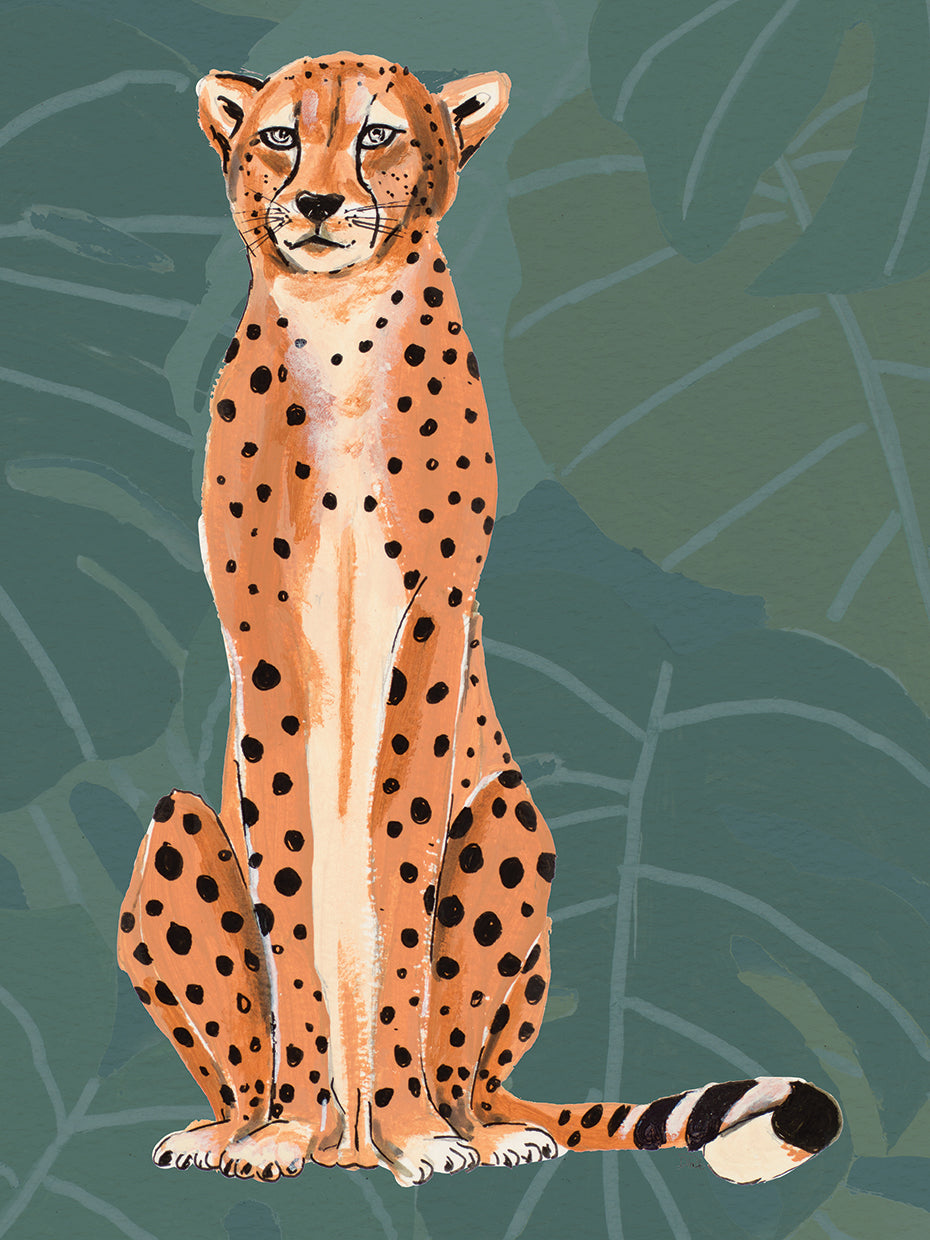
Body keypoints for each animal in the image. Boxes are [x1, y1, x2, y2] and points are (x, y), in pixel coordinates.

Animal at [117, 51, 842, 1188]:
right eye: (280, 137)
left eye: (376, 135)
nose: (315, 202)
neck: (340, 326)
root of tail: (350, 1157)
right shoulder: (262, 640)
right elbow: (294, 888)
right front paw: (279, 1127)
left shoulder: (435, 623)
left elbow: (401, 881)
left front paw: (418, 1130)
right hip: (177, 822)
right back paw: (239, 1127)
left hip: (509, 819)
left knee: (473, 1066)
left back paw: (473, 1129)